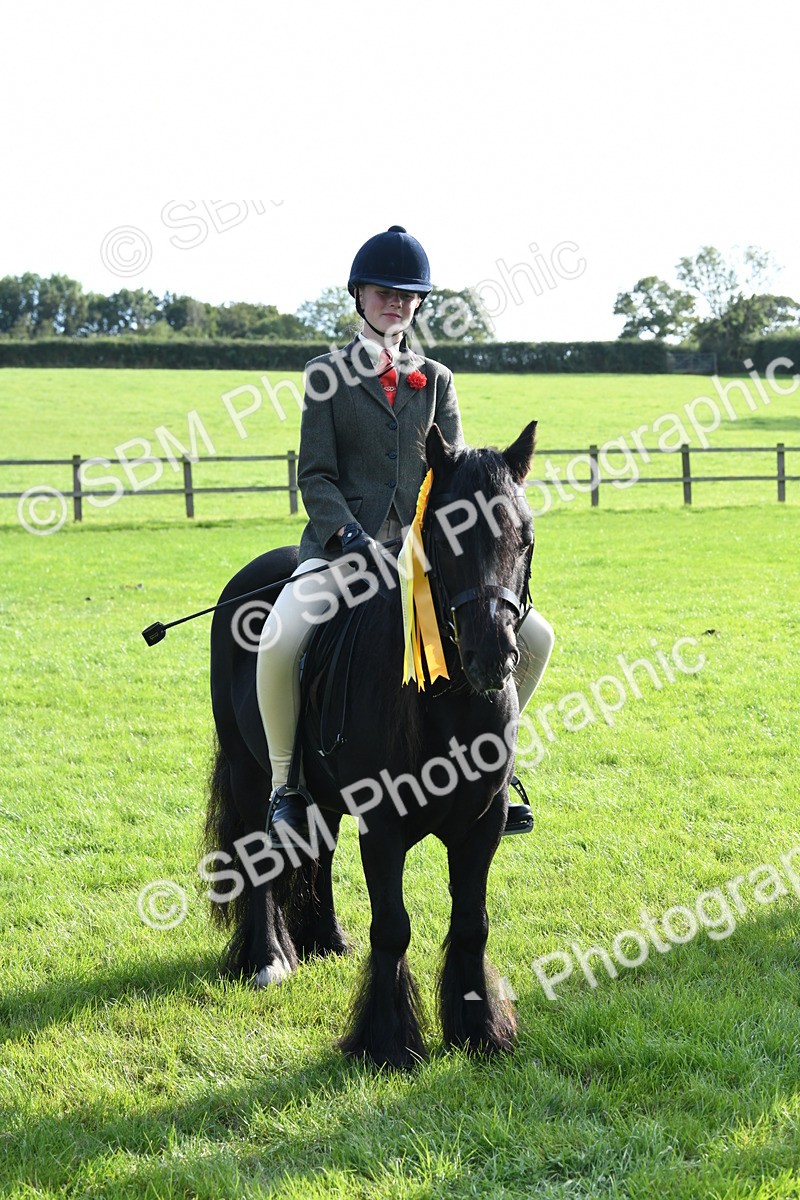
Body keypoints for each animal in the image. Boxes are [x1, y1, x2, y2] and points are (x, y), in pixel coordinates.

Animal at [203, 420, 538, 1068]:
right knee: (258, 854)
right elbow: (394, 926)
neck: (449, 702)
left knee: (319, 849)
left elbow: (472, 923)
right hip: (250, 774)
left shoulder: (481, 824)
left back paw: (327, 939)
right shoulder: (382, 825)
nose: (492, 656)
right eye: (442, 535)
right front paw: (386, 1041)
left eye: (526, 538)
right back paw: (269, 959)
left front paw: (479, 1031)